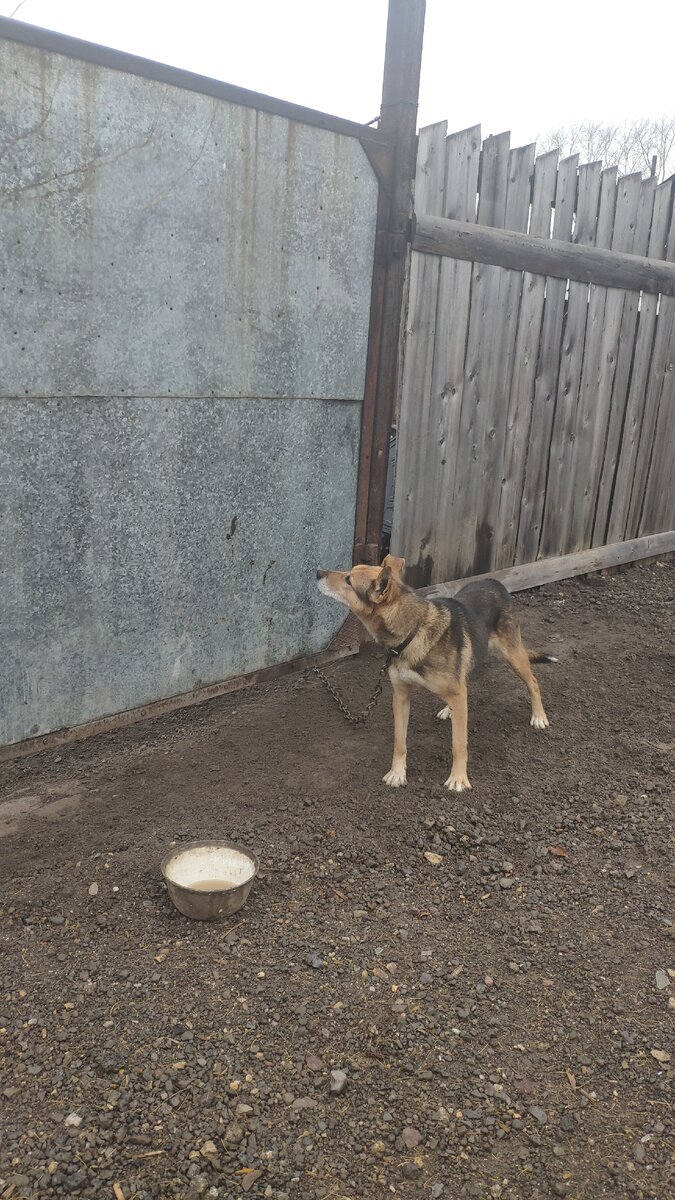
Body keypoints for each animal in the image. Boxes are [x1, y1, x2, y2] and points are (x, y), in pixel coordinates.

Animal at [317, 554, 557, 796]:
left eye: (348, 580)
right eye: (349, 572)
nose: (318, 572)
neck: (412, 631)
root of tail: (494, 582)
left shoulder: (456, 695)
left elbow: (459, 744)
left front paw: (458, 778)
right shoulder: (401, 696)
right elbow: (399, 741)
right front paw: (397, 773)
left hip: (513, 656)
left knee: (533, 682)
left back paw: (539, 716)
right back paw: (448, 710)